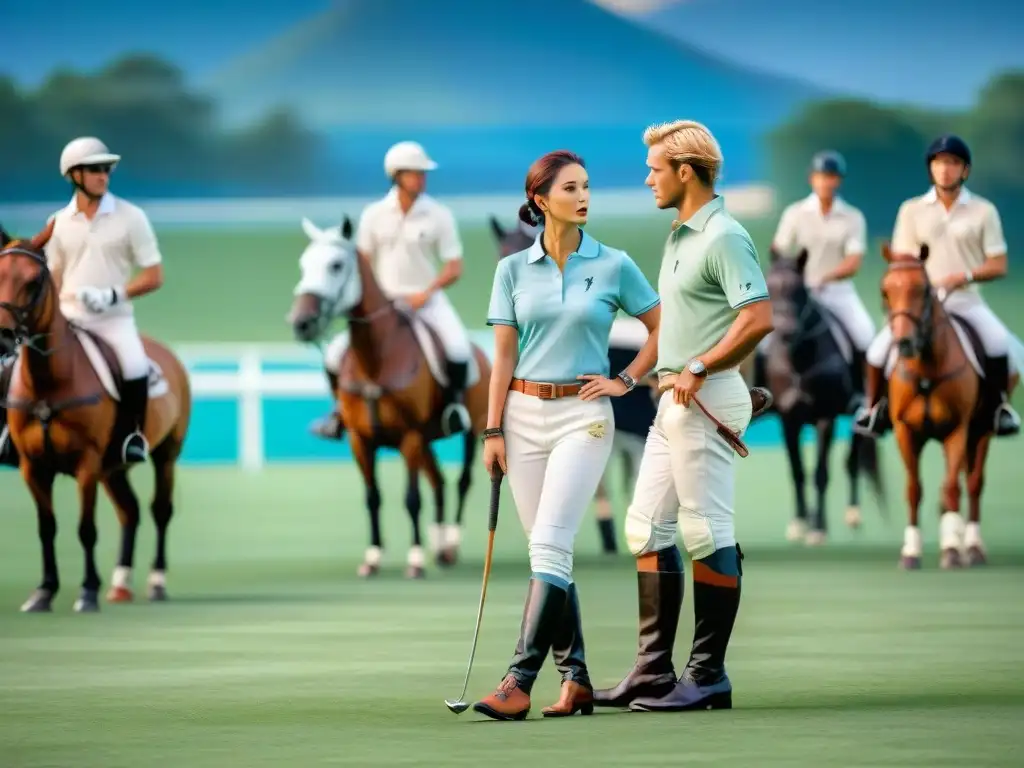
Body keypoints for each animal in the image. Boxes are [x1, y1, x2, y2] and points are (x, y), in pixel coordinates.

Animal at [0, 224, 191, 614]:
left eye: (33, 280)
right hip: (113, 467)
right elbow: (47, 527)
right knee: (130, 511)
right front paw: (44, 591)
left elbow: (85, 528)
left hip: (166, 454)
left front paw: (87, 591)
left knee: (160, 509)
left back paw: (156, 581)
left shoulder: (86, 463)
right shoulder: (32, 466)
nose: (4, 335)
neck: (48, 382)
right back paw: (119, 585)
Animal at [286, 215, 489, 577]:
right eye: (304, 264)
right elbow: (373, 497)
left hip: (471, 430)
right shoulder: (360, 439)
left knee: (463, 481)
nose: (301, 323)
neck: (375, 361)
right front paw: (373, 557)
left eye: (336, 265)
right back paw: (440, 546)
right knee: (438, 482)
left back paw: (450, 544)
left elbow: (411, 498)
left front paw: (415, 559)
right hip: (426, 439)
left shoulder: (409, 436)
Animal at [765, 249, 884, 544]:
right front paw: (800, 522)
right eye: (769, 287)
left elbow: (820, 473)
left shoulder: (824, 418)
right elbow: (797, 472)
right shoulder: (789, 420)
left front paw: (818, 528)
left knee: (852, 462)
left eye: (799, 290)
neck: (800, 359)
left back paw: (853, 515)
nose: (786, 331)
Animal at [876, 244, 995, 573]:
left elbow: (953, 487)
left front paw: (952, 551)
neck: (927, 370)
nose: (904, 343)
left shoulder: (958, 429)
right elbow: (914, 490)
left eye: (924, 289)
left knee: (973, 483)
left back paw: (973, 547)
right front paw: (911, 552)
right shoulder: (905, 431)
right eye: (885, 291)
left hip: (982, 430)